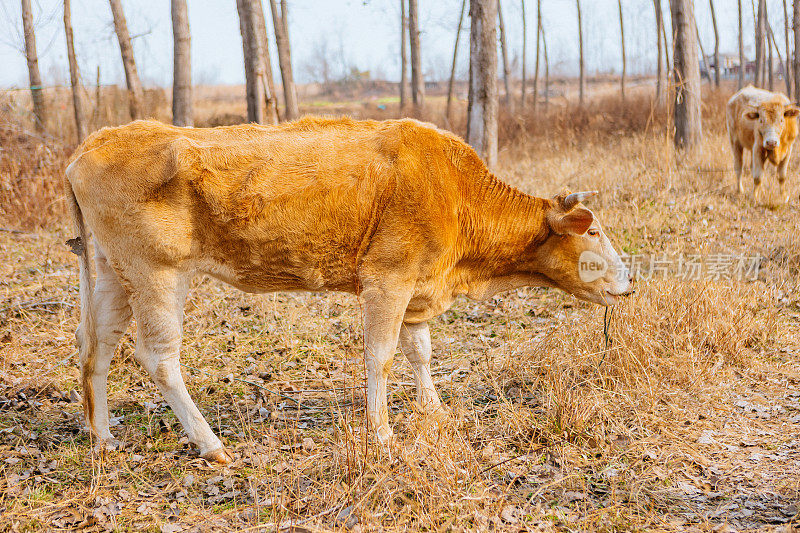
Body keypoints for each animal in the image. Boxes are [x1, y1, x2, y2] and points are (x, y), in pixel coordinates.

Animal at [65, 117, 632, 462]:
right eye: (594, 231)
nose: (630, 279)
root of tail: (96, 141)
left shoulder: (417, 289)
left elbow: (420, 350)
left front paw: (433, 409)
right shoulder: (388, 280)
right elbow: (381, 356)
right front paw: (383, 434)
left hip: (115, 273)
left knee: (97, 346)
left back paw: (104, 436)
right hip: (157, 274)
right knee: (158, 356)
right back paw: (211, 444)